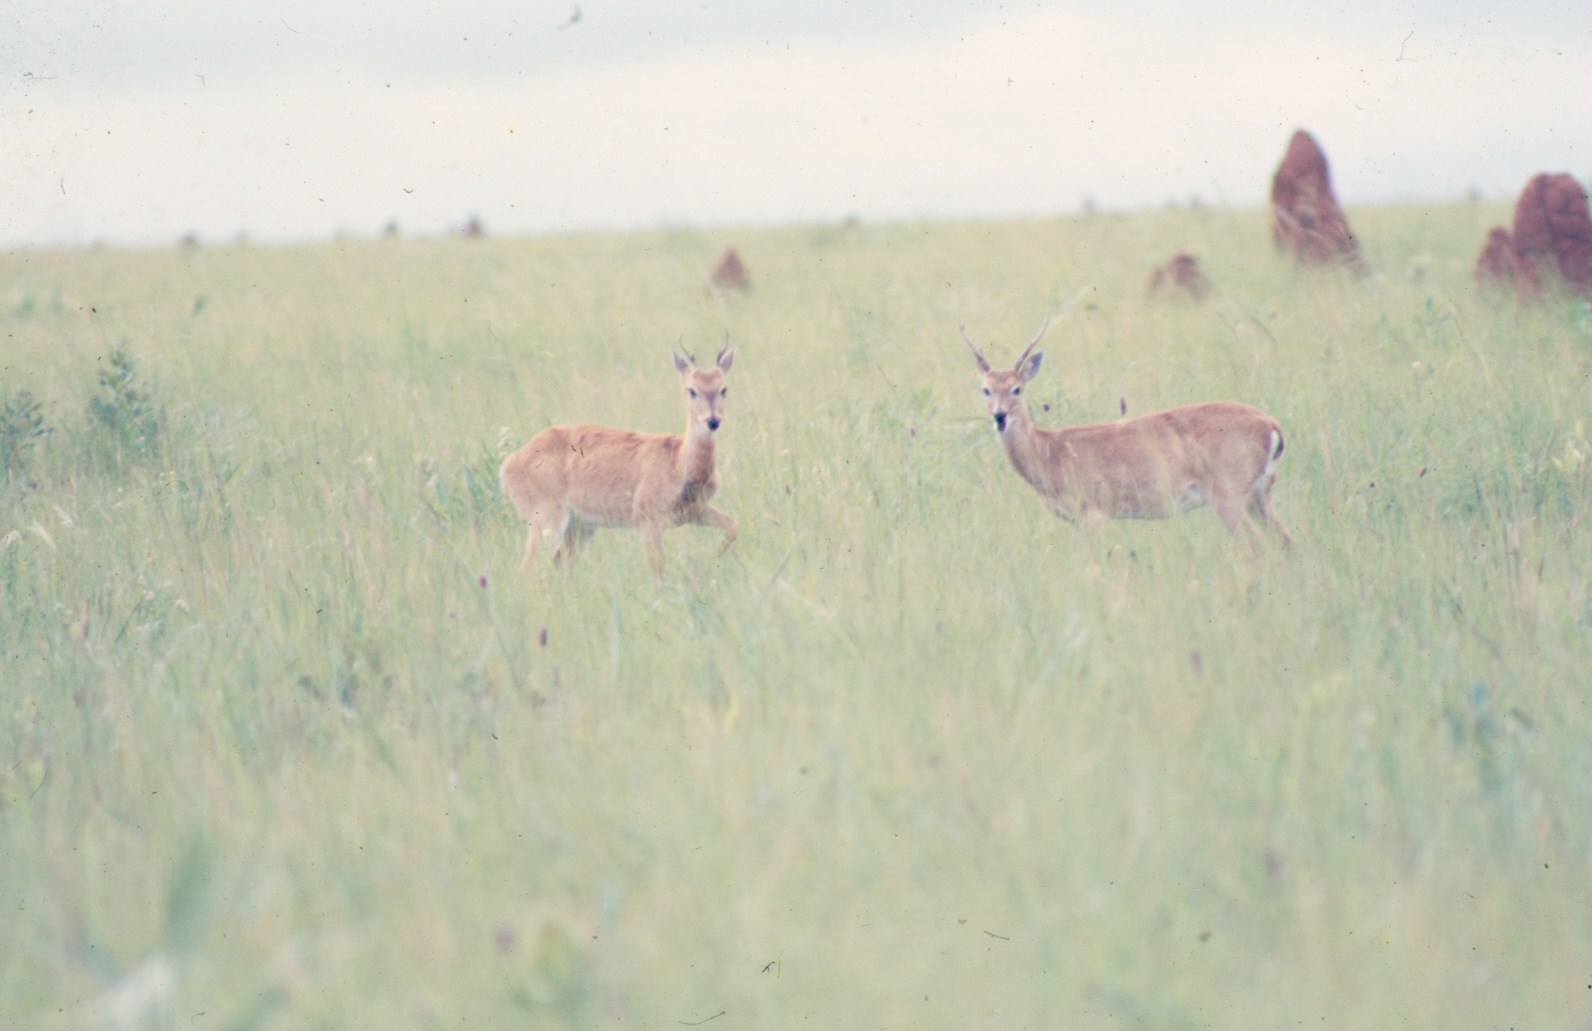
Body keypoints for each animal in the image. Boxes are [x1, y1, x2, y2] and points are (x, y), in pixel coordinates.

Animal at [499, 346, 738, 576]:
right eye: (692, 389)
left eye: (723, 388)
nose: (712, 421)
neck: (679, 462)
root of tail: (508, 464)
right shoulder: (649, 521)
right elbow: (658, 572)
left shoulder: (696, 512)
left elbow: (734, 525)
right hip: (547, 520)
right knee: (527, 571)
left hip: (581, 526)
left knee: (558, 565)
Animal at [962, 317, 1292, 550]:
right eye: (986, 389)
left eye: (1017, 388)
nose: (1000, 416)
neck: (1048, 451)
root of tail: (1271, 426)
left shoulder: (1093, 512)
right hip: (1259, 495)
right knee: (1287, 544)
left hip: (1229, 494)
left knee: (1255, 550)